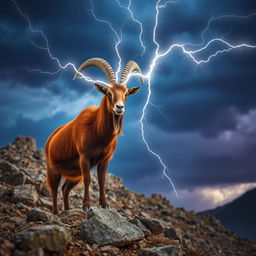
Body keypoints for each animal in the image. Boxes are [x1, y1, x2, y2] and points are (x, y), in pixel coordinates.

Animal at [44, 58, 143, 214]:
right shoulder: (84, 158)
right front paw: (87, 205)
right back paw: (56, 212)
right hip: (53, 169)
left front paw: (105, 204)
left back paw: (67, 210)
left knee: (65, 188)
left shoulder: (105, 160)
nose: (119, 107)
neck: (98, 132)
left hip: (74, 175)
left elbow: (102, 180)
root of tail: (50, 139)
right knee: (54, 189)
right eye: (109, 92)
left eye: (126, 93)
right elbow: (88, 179)